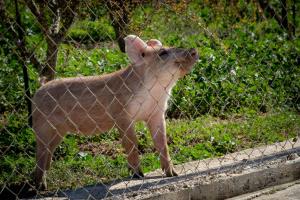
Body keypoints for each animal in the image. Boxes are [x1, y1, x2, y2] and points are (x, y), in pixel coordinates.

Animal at [31, 35, 198, 190]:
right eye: (163, 53)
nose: (193, 50)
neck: (155, 91)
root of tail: (38, 90)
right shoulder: (121, 115)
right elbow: (132, 143)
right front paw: (139, 176)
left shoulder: (156, 113)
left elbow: (162, 142)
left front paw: (174, 174)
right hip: (42, 127)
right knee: (40, 154)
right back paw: (40, 187)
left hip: (59, 132)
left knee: (48, 154)